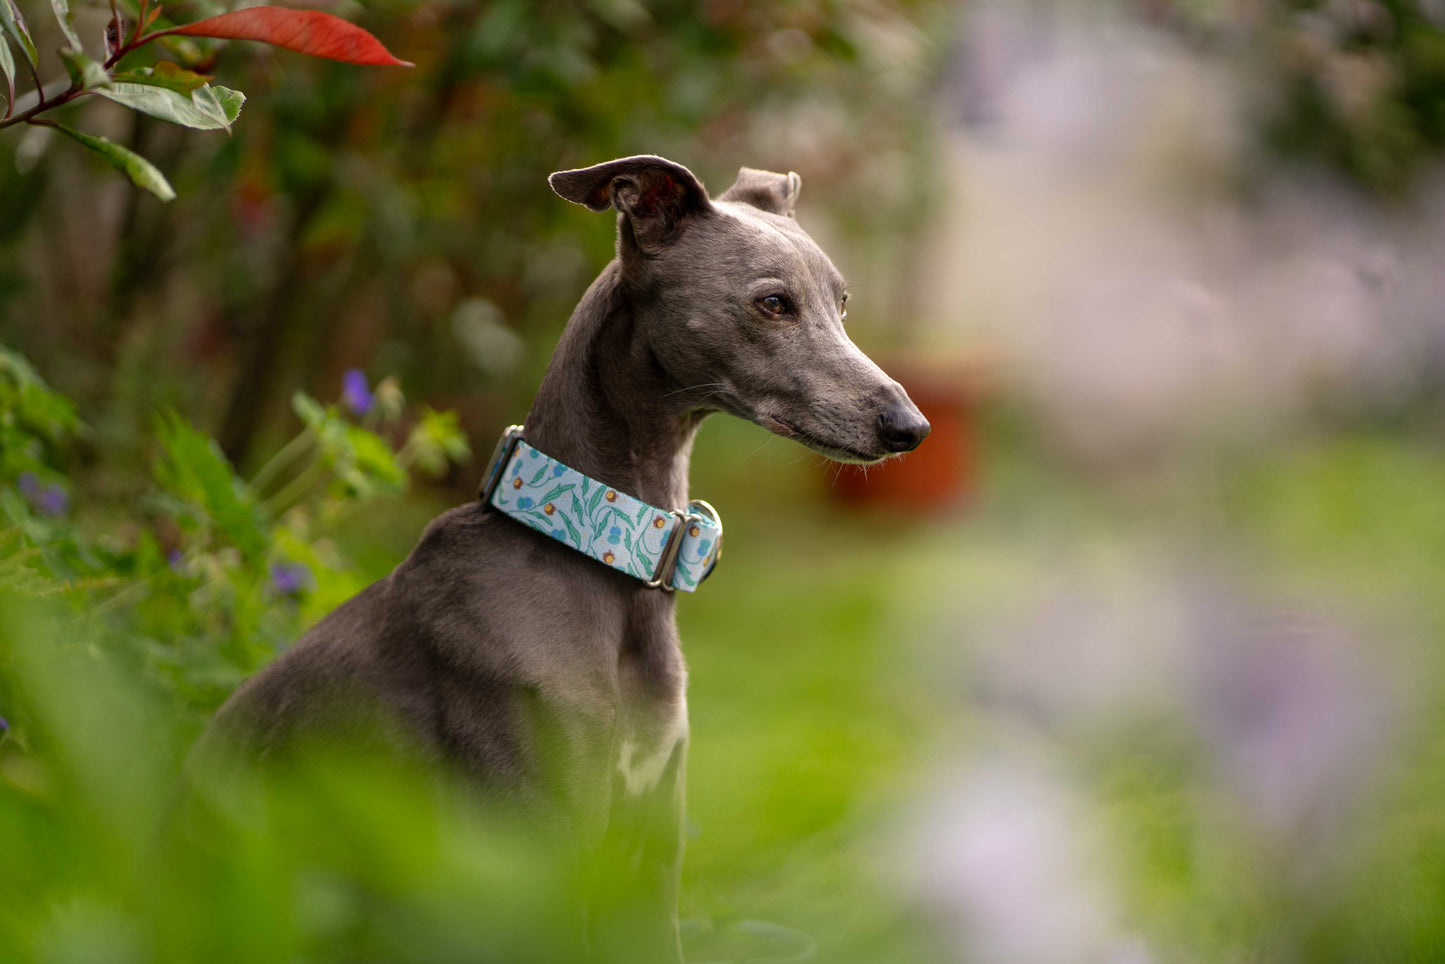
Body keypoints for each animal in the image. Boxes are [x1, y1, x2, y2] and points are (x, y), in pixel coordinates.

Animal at [197, 154, 930, 959]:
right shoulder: (537, 856)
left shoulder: (646, 862)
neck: (599, 549)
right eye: (772, 303)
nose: (910, 427)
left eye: (842, 303)